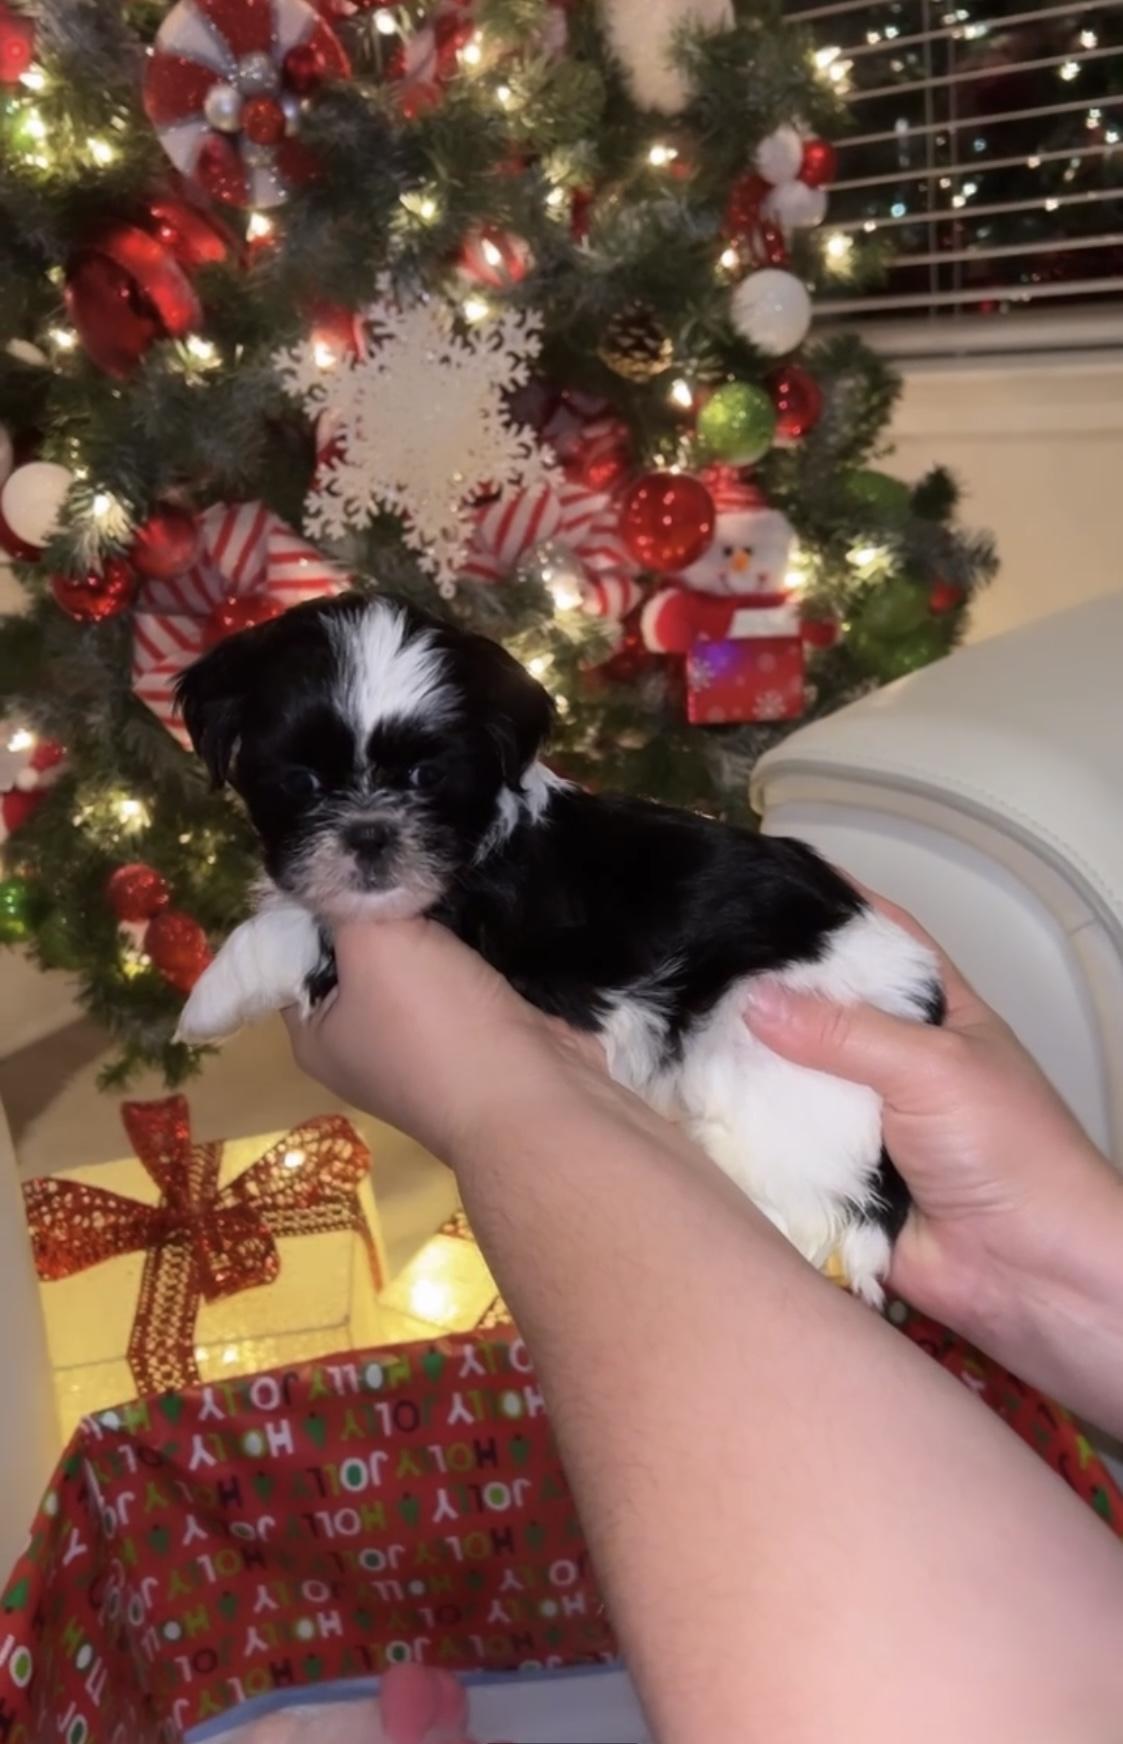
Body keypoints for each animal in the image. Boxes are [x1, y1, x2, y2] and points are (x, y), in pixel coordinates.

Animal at [175, 591, 942, 1304]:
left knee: (794, 1209)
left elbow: (295, 928)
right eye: (300, 783)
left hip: (758, 1051)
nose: (369, 835)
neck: (484, 835)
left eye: (428, 778)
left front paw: (209, 1001)